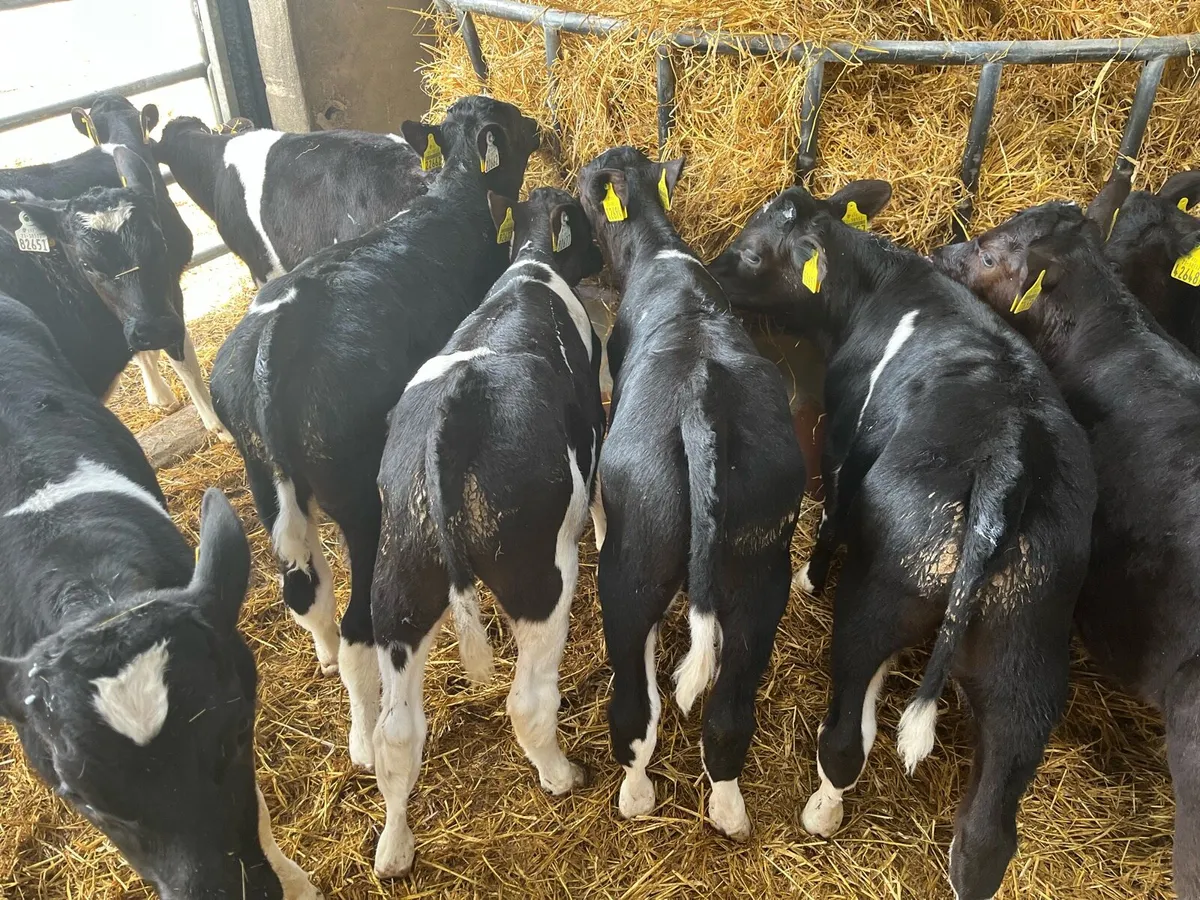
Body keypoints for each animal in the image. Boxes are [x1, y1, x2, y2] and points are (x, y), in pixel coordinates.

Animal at [210, 95, 541, 775]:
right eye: (514, 121)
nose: (543, 127)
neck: (453, 193)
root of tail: (278, 336)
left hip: (265, 480)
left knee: (304, 591)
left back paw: (325, 661)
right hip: (362, 500)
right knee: (360, 621)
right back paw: (364, 740)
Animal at [368, 187, 604, 877]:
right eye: (585, 222)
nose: (600, 256)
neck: (530, 265)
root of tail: (453, 413)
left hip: (398, 579)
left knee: (396, 732)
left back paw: (394, 849)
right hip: (540, 577)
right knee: (527, 700)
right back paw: (562, 775)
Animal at [575, 146, 806, 842]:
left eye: (588, 192)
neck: (659, 250)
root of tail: (704, 391)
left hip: (632, 567)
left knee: (634, 706)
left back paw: (634, 796)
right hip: (762, 570)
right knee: (728, 713)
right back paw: (729, 810)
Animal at [710, 181, 1095, 900]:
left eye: (749, 252)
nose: (711, 272)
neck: (883, 286)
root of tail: (1006, 467)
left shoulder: (844, 437)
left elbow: (833, 511)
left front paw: (808, 577)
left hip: (879, 599)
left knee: (845, 738)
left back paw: (821, 812)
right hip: (1027, 659)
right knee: (985, 837)